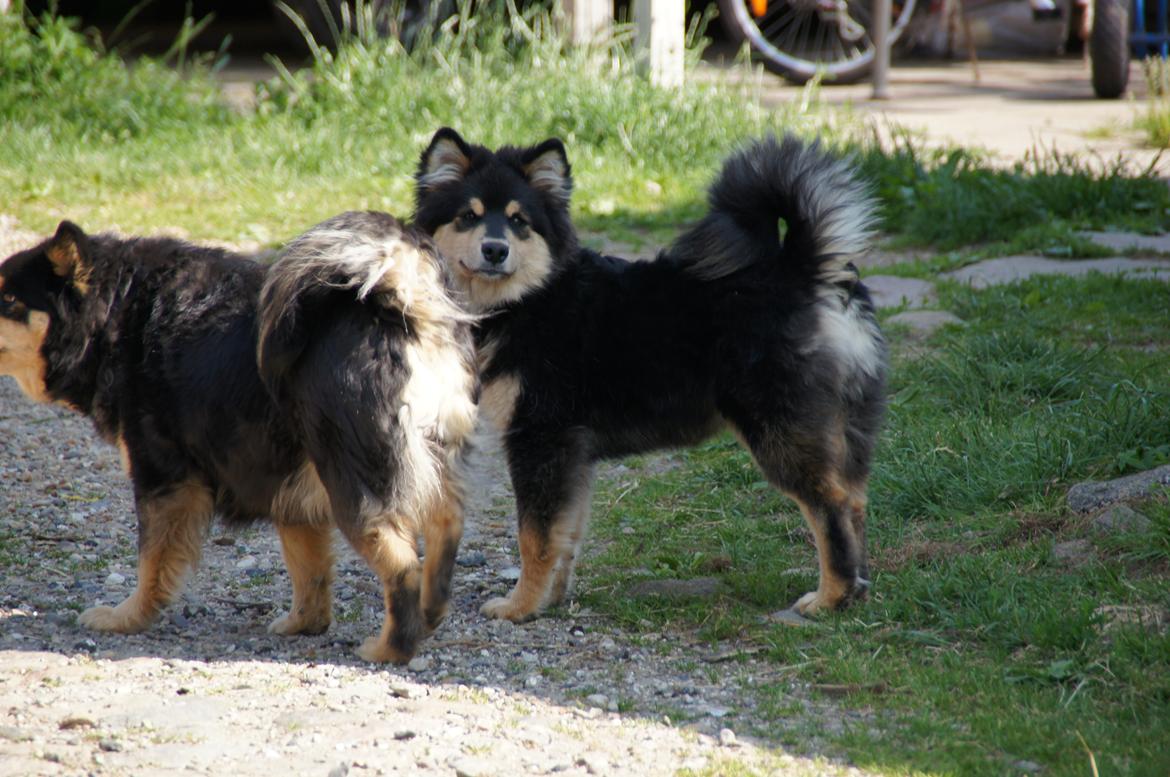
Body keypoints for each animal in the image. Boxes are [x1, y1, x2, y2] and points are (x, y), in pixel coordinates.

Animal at [0, 212, 477, 659]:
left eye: (8, 299)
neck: (119, 310)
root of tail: (399, 304)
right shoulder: (290, 493)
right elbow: (309, 569)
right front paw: (303, 625)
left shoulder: (163, 480)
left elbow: (151, 562)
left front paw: (128, 617)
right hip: (424, 460)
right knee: (446, 526)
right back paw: (430, 612)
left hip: (355, 482)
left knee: (402, 565)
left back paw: (392, 648)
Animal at [411, 130, 884, 622]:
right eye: (468, 216)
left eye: (519, 221)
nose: (495, 249)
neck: (529, 298)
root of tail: (806, 270)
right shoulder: (573, 454)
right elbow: (565, 535)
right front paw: (551, 599)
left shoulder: (539, 439)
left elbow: (534, 536)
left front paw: (520, 606)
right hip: (846, 426)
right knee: (856, 501)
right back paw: (858, 591)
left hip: (779, 429)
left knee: (832, 505)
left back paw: (830, 597)